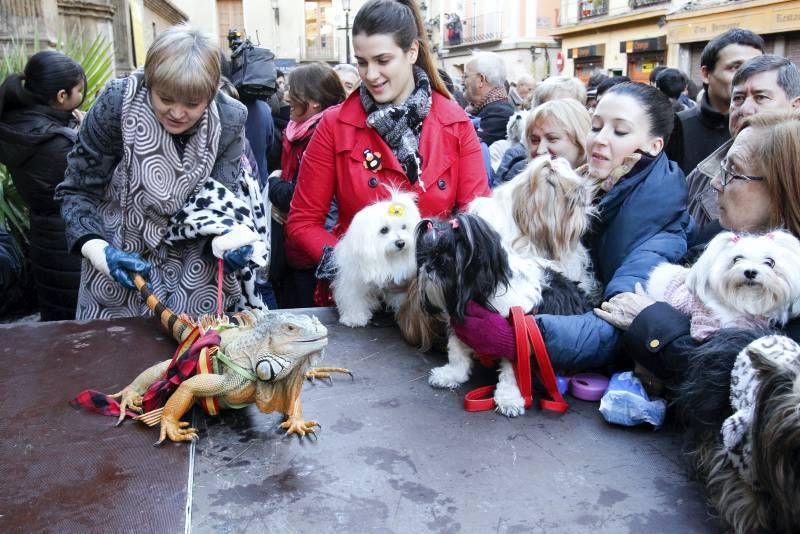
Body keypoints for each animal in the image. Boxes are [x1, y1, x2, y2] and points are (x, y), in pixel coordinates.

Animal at [332, 191, 422, 328]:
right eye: (384, 230)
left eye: (404, 227)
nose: (401, 243)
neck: (388, 258)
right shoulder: (354, 280)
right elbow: (354, 297)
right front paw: (355, 318)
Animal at [412, 214, 592, 418]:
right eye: (425, 256)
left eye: (443, 259)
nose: (428, 267)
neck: (479, 295)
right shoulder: (462, 324)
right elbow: (457, 352)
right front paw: (452, 374)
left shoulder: (518, 336)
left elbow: (515, 372)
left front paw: (509, 399)